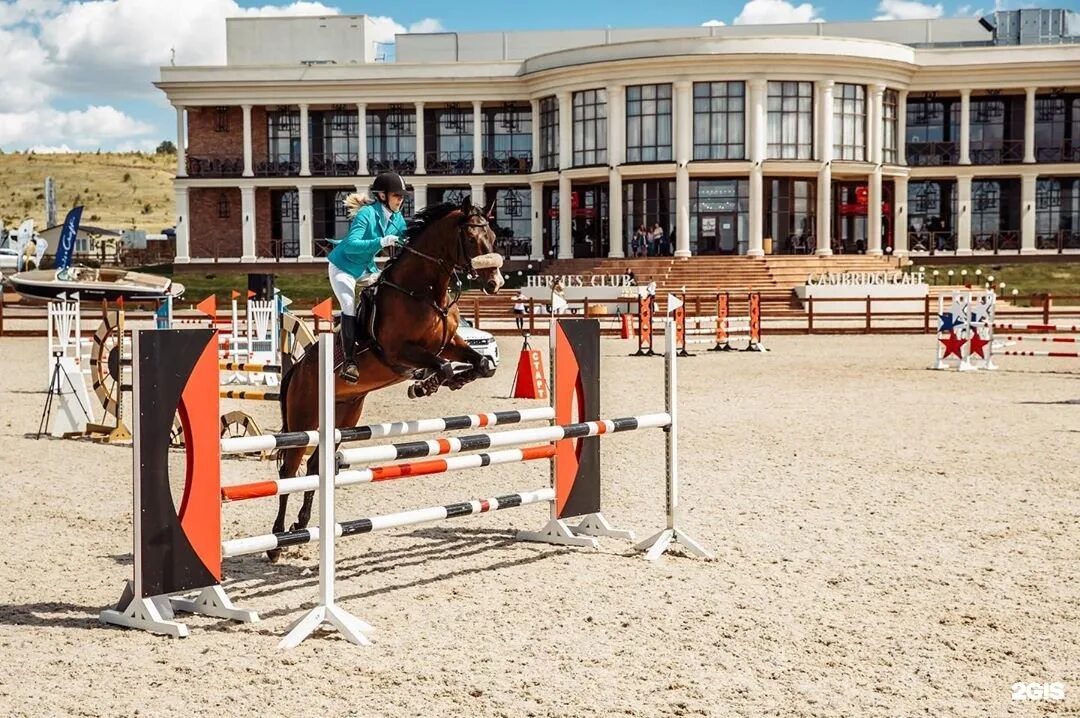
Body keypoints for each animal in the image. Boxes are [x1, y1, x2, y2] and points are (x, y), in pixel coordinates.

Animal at [270, 196, 505, 561]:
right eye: (471, 238)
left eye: (493, 237)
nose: (495, 283)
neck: (424, 292)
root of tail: (297, 367)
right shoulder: (399, 352)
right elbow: (442, 367)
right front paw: (426, 384)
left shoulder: (451, 344)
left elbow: (482, 364)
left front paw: (448, 380)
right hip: (303, 419)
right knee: (288, 471)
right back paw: (278, 540)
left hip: (342, 418)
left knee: (314, 467)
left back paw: (302, 525)